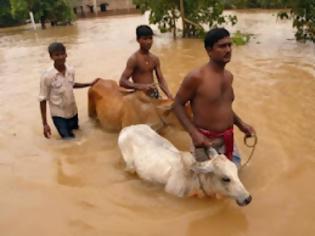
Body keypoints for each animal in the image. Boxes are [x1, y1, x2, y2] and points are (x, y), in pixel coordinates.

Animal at [117, 124, 253, 206]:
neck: (195, 179)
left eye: (236, 172)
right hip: (129, 165)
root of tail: (127, 128)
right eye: (226, 178)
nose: (248, 198)